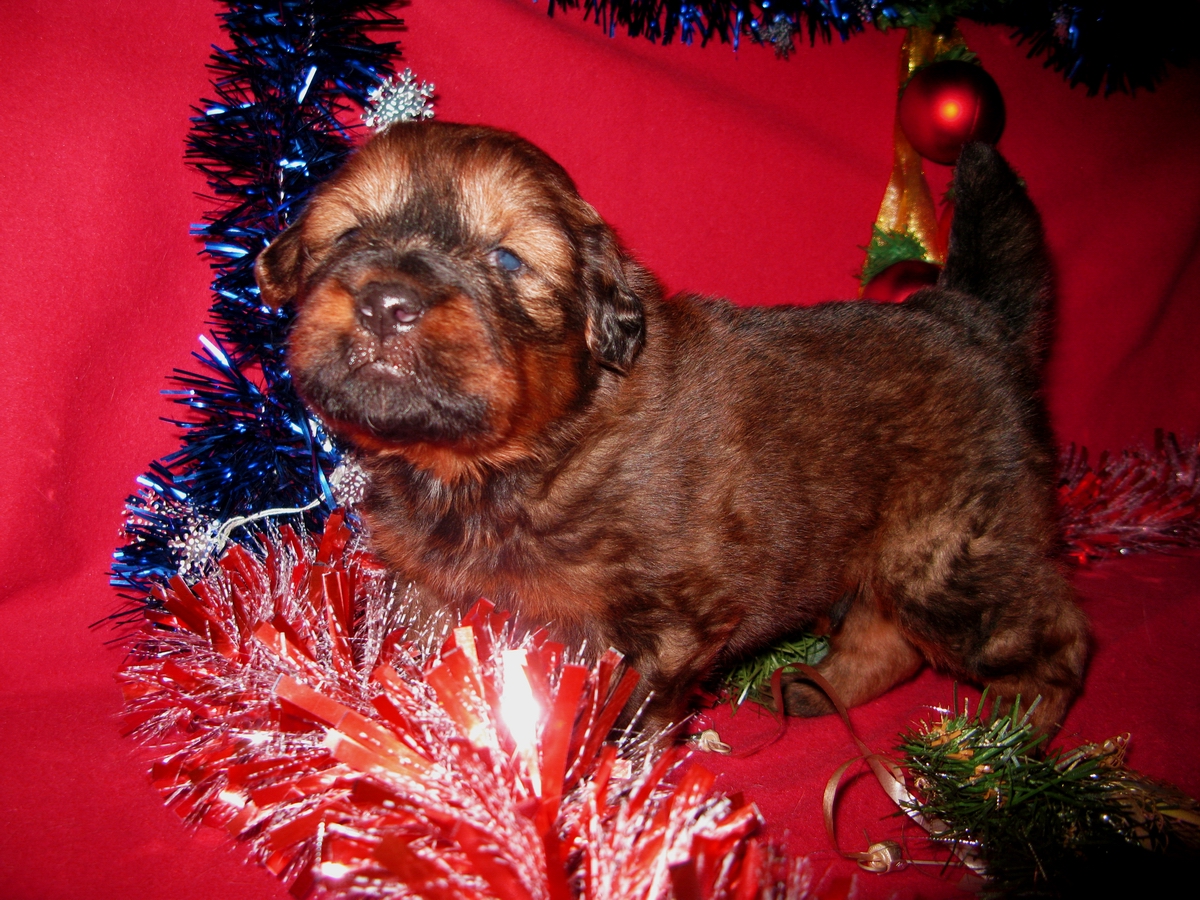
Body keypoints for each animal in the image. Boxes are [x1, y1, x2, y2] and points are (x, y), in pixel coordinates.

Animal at [255, 122, 1088, 734]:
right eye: (348, 234)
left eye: (508, 260)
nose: (386, 302)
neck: (503, 465)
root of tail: (968, 317)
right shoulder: (427, 587)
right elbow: (414, 666)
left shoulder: (668, 627)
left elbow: (624, 725)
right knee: (888, 640)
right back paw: (819, 690)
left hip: (952, 557)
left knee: (1060, 640)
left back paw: (1010, 747)